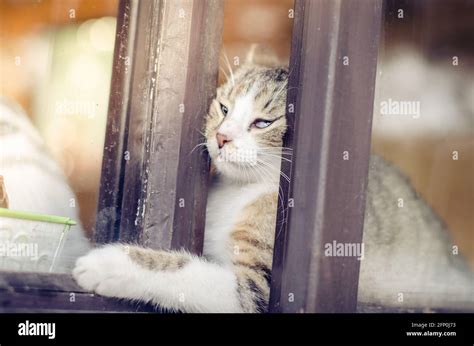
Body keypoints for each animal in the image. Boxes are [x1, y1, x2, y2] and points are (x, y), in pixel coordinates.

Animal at [71, 50, 474, 314]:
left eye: (263, 123)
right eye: (224, 108)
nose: (222, 137)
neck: (241, 192)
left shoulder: (261, 290)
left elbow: (191, 273)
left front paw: (109, 264)